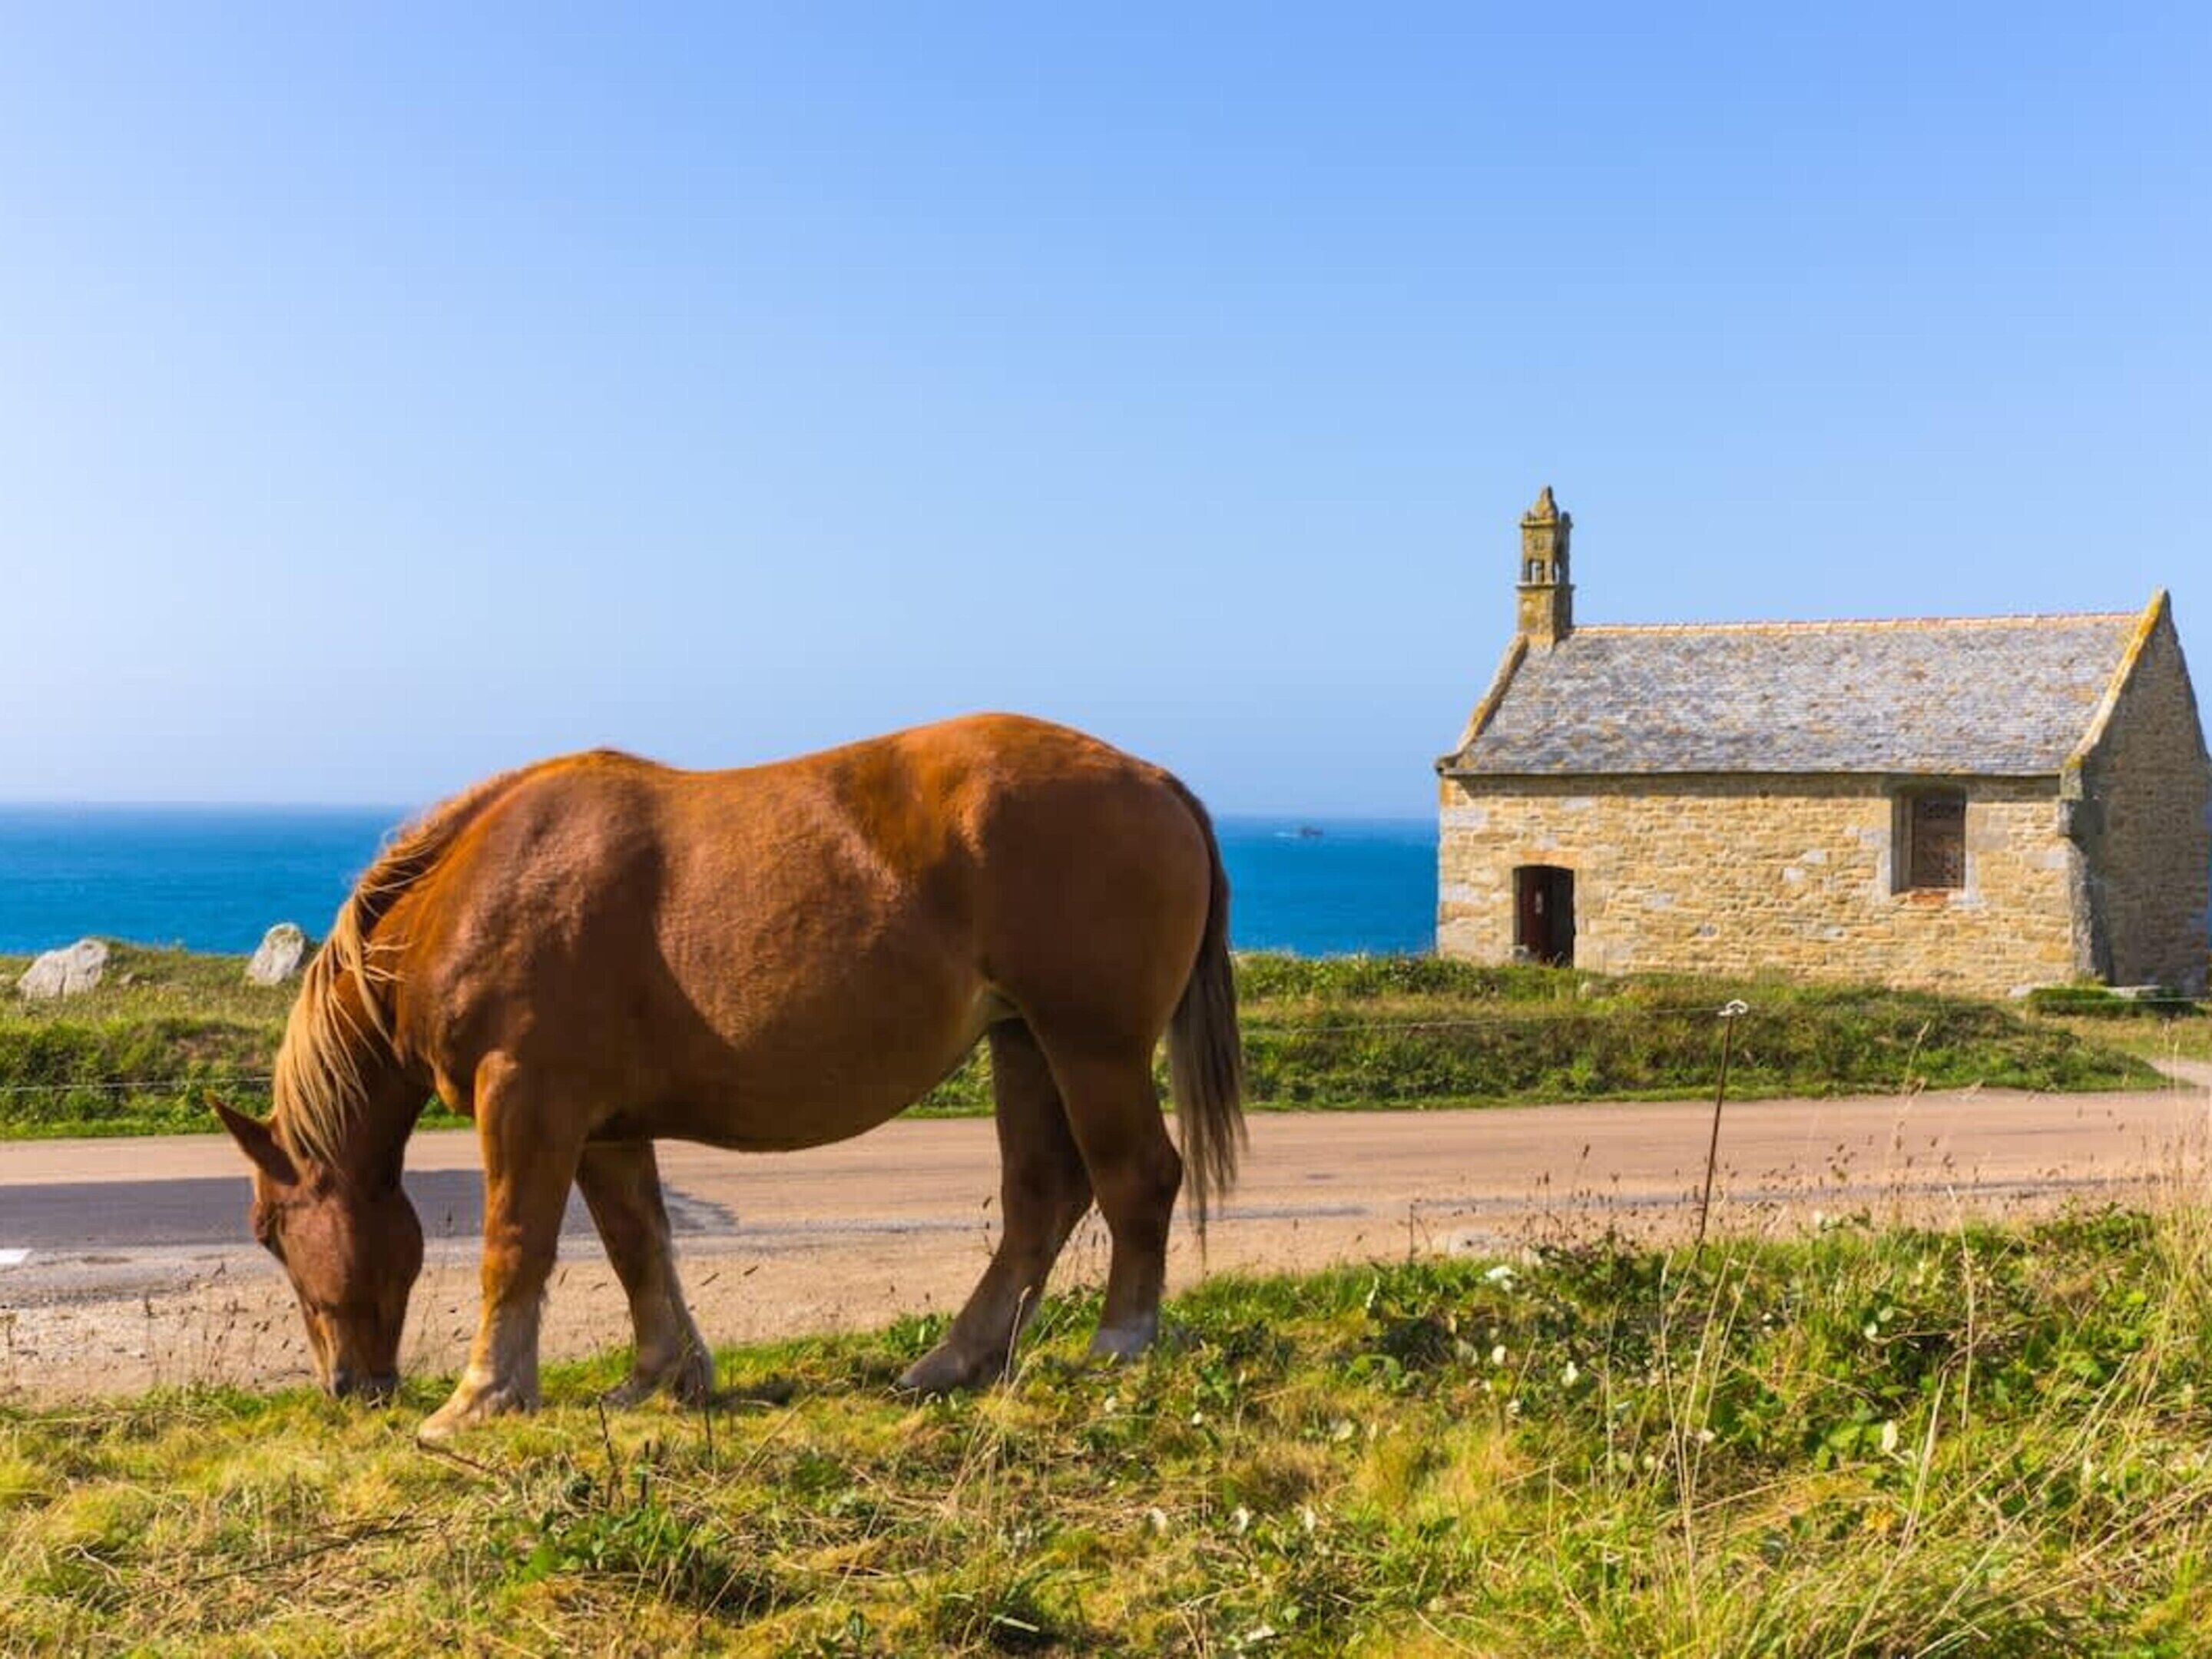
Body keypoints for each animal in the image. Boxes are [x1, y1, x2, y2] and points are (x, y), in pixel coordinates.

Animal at [213, 713, 1245, 1440]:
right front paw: (661, 1374)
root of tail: (1158, 783)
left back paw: (1119, 1342)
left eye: (269, 1233)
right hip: (1024, 1042)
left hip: (1091, 1045)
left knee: (1136, 1178)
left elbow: (517, 1245)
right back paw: (956, 1360)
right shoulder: (605, 1125)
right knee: (1043, 1195)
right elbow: (639, 1244)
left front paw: (482, 1397)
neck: (469, 894)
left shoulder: (528, 1102)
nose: (348, 1388)